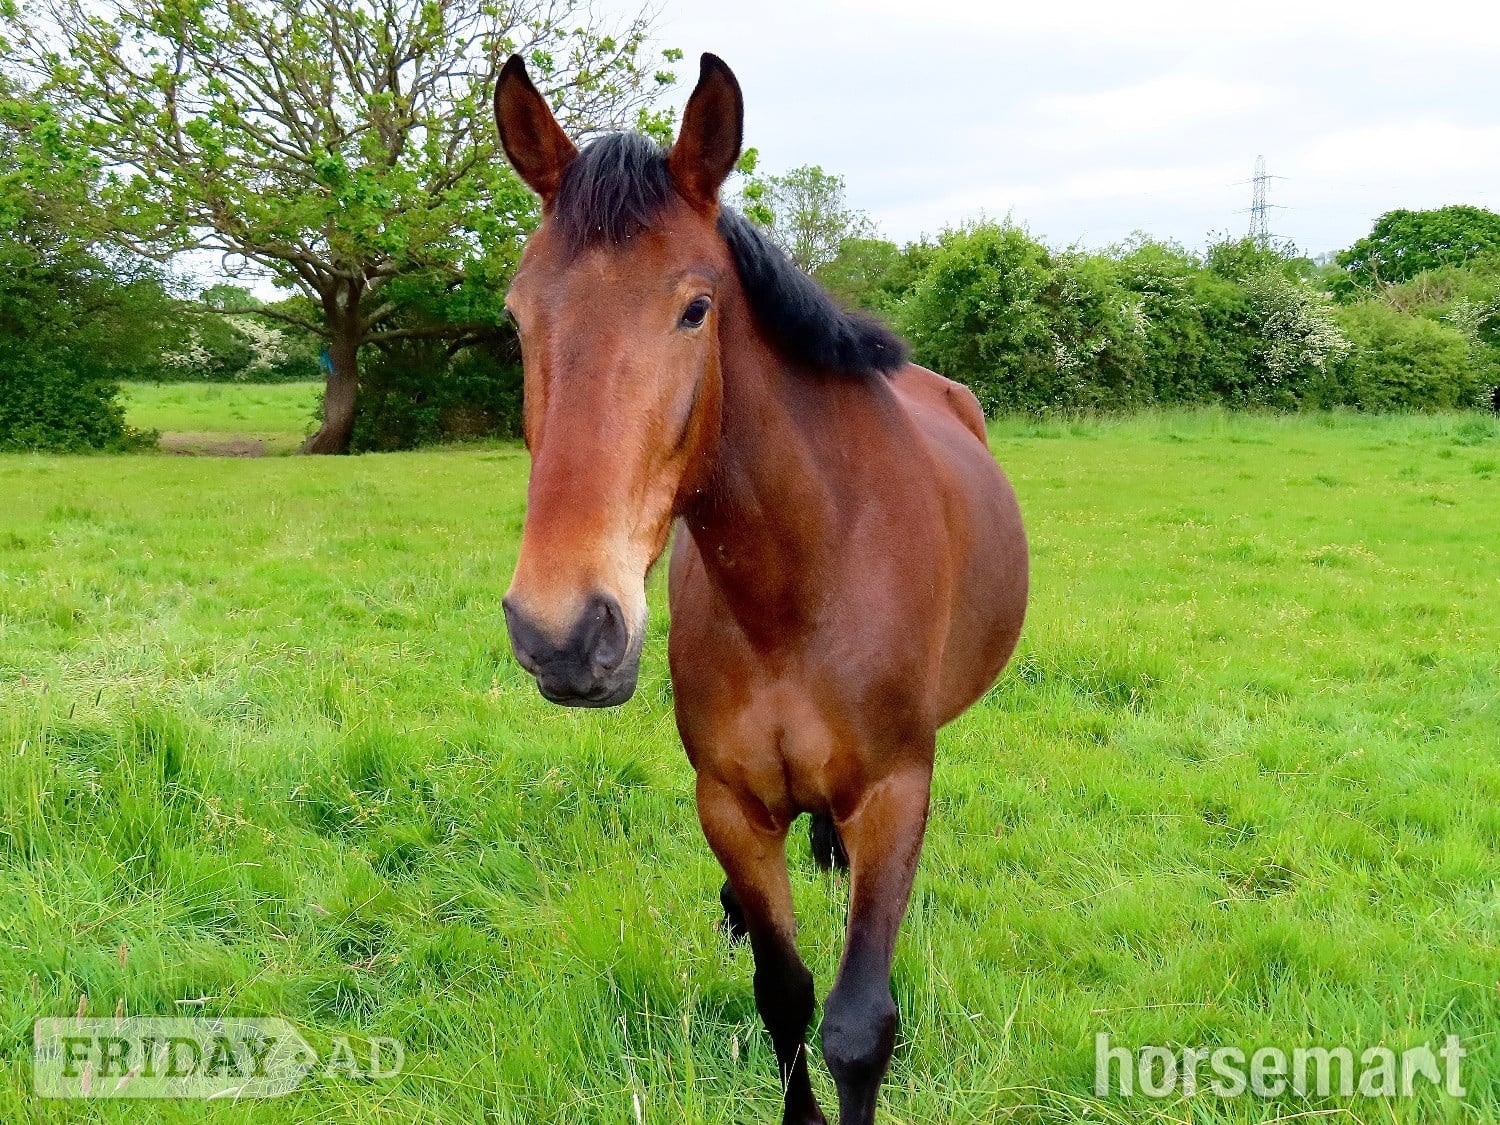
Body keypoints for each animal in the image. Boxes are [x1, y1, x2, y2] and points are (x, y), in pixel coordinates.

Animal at [495, 52, 1028, 1125]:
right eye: (517, 315)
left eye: (695, 307)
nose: (563, 633)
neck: (801, 589)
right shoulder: (731, 804)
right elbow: (782, 992)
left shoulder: (896, 793)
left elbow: (859, 1024)